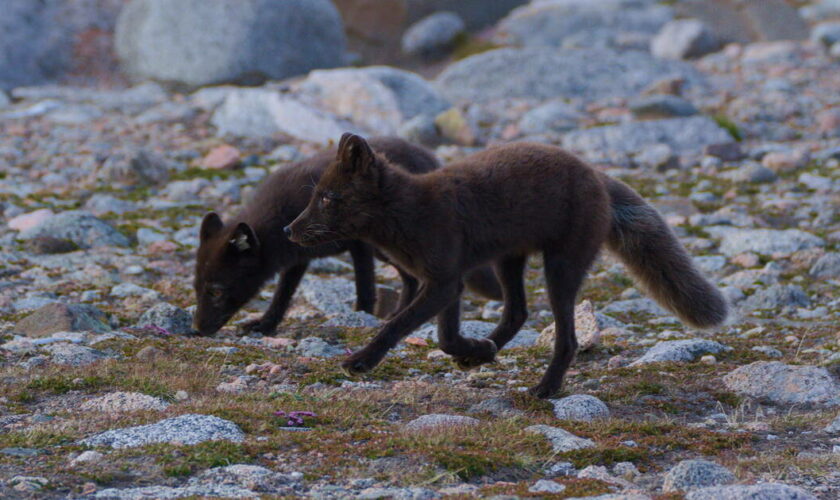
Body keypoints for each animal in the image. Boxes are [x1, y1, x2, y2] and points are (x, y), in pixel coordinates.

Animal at [194, 137, 502, 336]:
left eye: (216, 291)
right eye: (196, 288)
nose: (196, 330)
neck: (282, 216)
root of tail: (427, 155)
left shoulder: (359, 246)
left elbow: (364, 289)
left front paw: (360, 317)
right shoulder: (299, 256)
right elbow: (283, 295)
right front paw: (266, 324)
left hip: (389, 249)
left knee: (413, 278)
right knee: (411, 279)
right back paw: (396, 315)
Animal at [284, 133, 728, 398]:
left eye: (328, 198)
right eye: (315, 196)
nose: (289, 230)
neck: (410, 213)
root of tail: (596, 174)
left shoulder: (443, 282)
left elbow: (397, 325)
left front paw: (361, 361)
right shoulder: (450, 283)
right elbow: (445, 337)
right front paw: (474, 349)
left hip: (560, 268)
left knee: (566, 338)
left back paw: (545, 389)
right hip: (508, 261)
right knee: (518, 312)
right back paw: (485, 352)